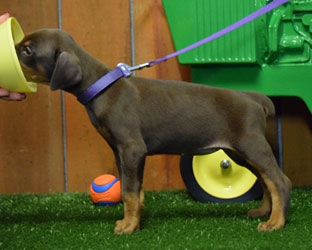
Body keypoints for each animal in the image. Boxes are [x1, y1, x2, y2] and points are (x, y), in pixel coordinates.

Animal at [15, 29, 292, 234]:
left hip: (251, 145)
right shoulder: (122, 151)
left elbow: (127, 191)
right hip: (239, 153)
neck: (101, 86)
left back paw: (275, 223)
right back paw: (264, 212)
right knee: (266, 180)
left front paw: (128, 227)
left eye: (27, 49)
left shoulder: (131, 148)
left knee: (279, 180)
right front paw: (135, 220)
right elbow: (135, 190)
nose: (9, 48)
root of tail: (254, 98)